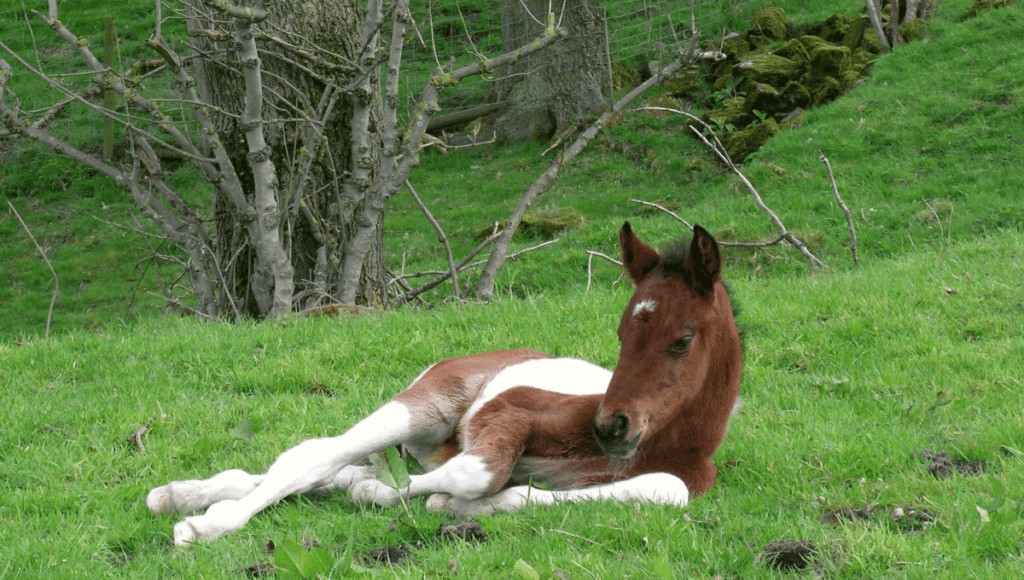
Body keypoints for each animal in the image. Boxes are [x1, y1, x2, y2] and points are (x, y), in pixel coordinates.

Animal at [148, 221, 741, 545]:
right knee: (313, 456)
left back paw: (177, 495)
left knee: (326, 470)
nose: (612, 426)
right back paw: (203, 522)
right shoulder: (509, 415)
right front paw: (399, 498)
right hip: (423, 407)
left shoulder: (680, 480)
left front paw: (453, 507)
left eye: (681, 339)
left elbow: (664, 489)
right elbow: (478, 473)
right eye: (620, 332)